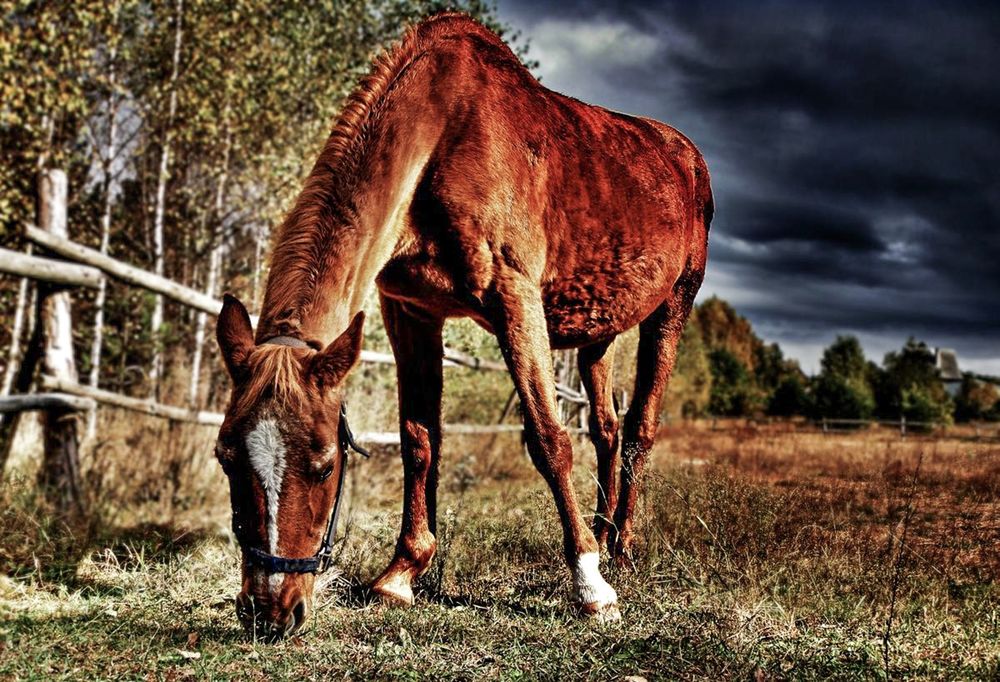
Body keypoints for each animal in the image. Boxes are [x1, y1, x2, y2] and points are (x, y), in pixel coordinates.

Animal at [214, 12, 712, 638]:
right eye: (226, 456)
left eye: (325, 464)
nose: (269, 611)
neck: (442, 133)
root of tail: (686, 155)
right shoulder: (410, 312)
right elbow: (419, 439)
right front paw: (402, 573)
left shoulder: (514, 297)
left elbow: (548, 440)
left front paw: (591, 588)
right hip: (597, 332)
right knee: (606, 428)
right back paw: (601, 535)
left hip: (674, 306)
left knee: (640, 429)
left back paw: (619, 549)